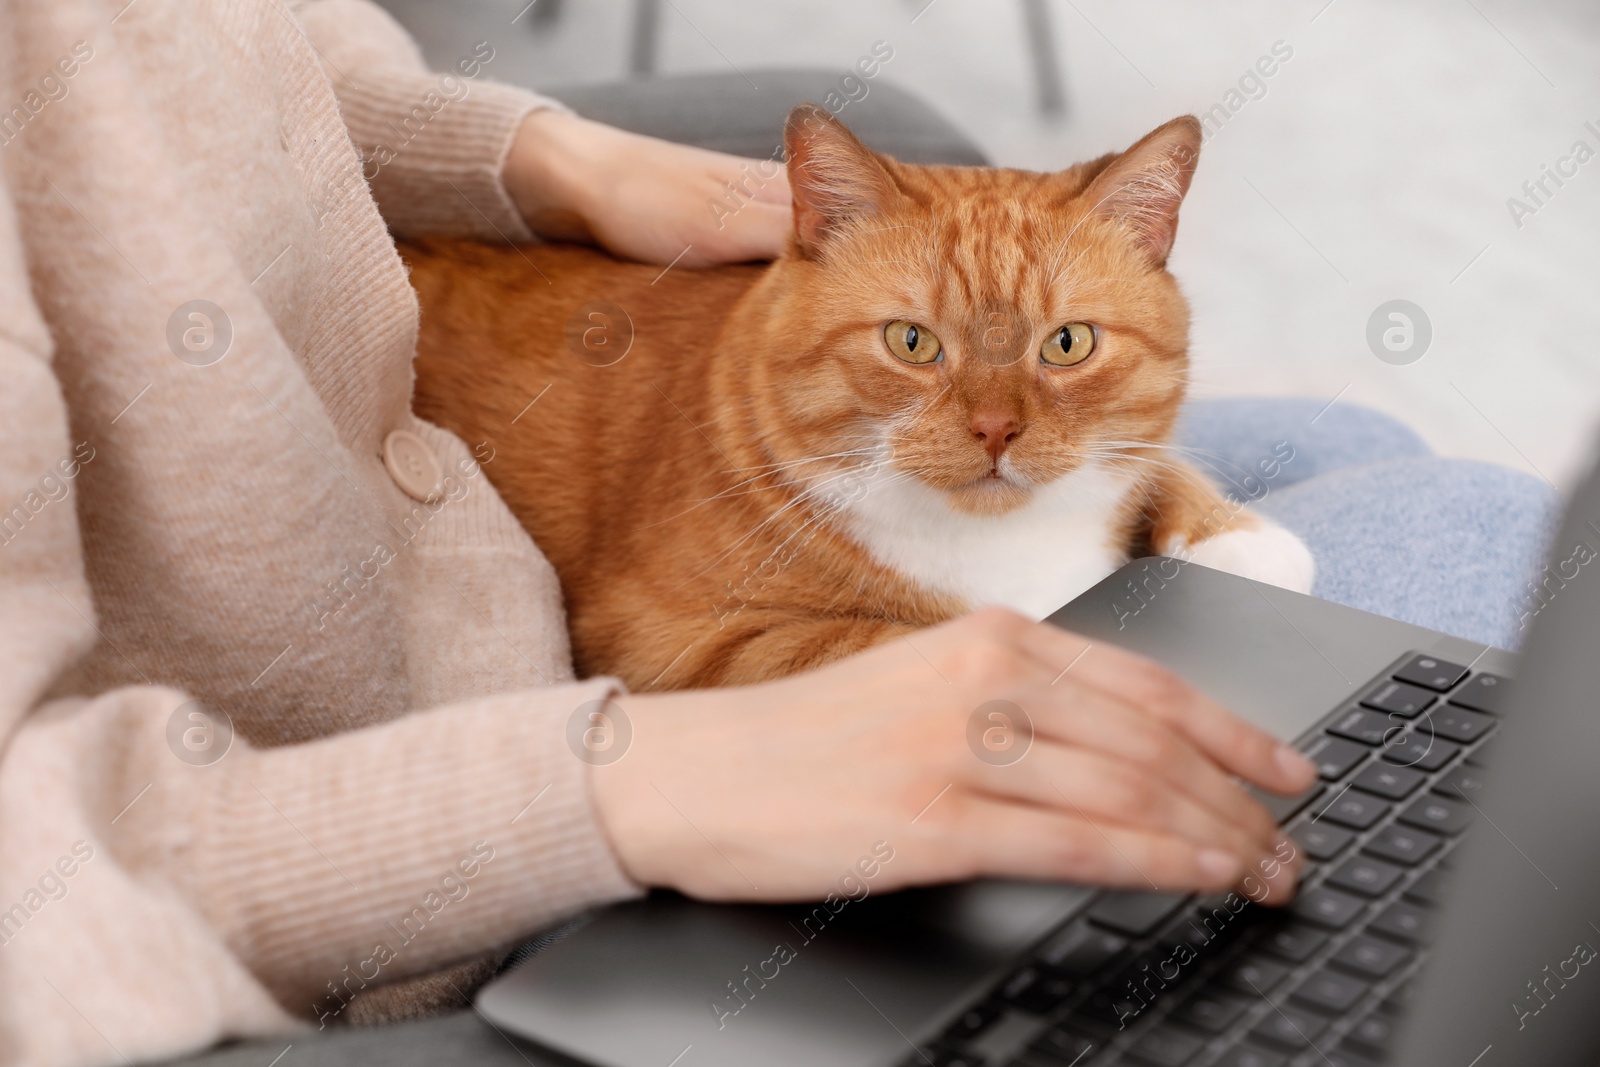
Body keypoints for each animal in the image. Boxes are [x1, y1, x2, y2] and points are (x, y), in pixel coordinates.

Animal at [403, 106, 1312, 694]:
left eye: (1068, 344)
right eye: (911, 342)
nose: (996, 429)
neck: (1002, 549)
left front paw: (1237, 537)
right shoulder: (669, 642)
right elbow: (896, 641)